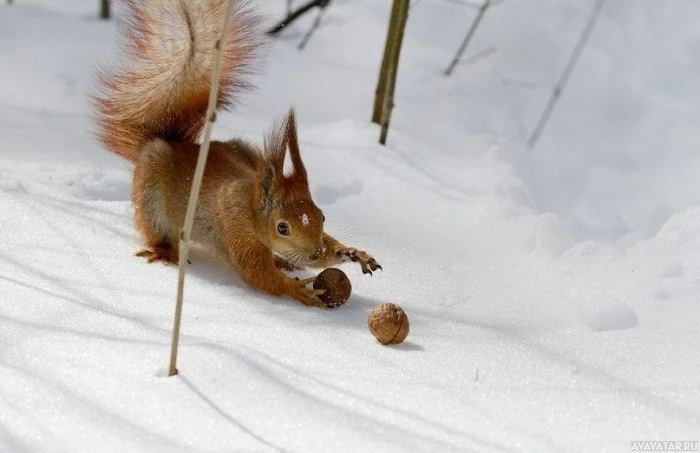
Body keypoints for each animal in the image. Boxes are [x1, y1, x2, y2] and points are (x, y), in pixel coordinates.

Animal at [93, 0, 380, 308]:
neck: (252, 205)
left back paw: (284, 261)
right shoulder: (236, 225)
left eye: (322, 217)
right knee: (155, 231)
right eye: (282, 228)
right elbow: (254, 271)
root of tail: (172, 142)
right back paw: (165, 251)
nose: (315, 252)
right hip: (151, 191)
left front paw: (350, 253)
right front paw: (296, 289)